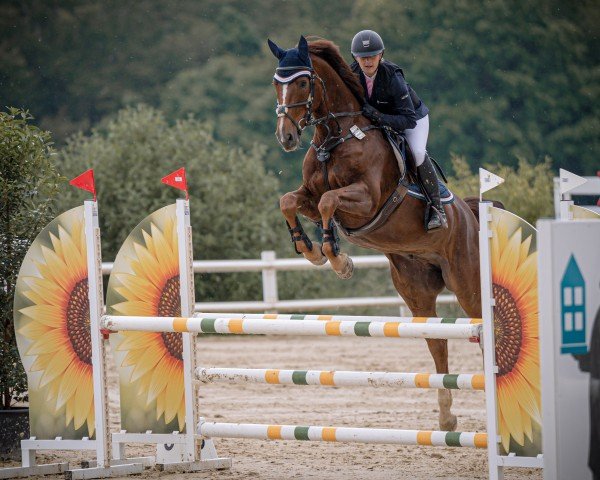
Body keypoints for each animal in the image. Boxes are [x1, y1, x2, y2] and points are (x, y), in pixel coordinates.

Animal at [272, 35, 482, 430]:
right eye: (276, 83)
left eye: (304, 82)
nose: (286, 137)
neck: (336, 137)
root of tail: (471, 215)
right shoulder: (310, 197)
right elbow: (289, 201)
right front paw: (310, 249)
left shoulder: (367, 200)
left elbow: (329, 202)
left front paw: (338, 260)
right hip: (416, 290)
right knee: (437, 342)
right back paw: (446, 416)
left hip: (466, 280)